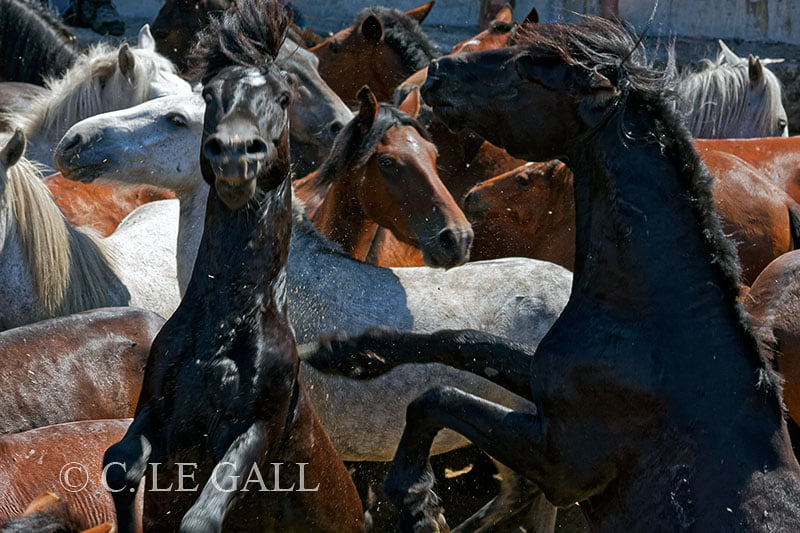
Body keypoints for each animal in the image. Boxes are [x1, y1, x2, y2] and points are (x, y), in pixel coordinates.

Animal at [104, 2, 365, 530]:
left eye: (284, 97)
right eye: (210, 94)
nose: (234, 153)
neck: (224, 327)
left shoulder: (256, 430)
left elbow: (201, 517)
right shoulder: (157, 411)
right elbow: (119, 466)